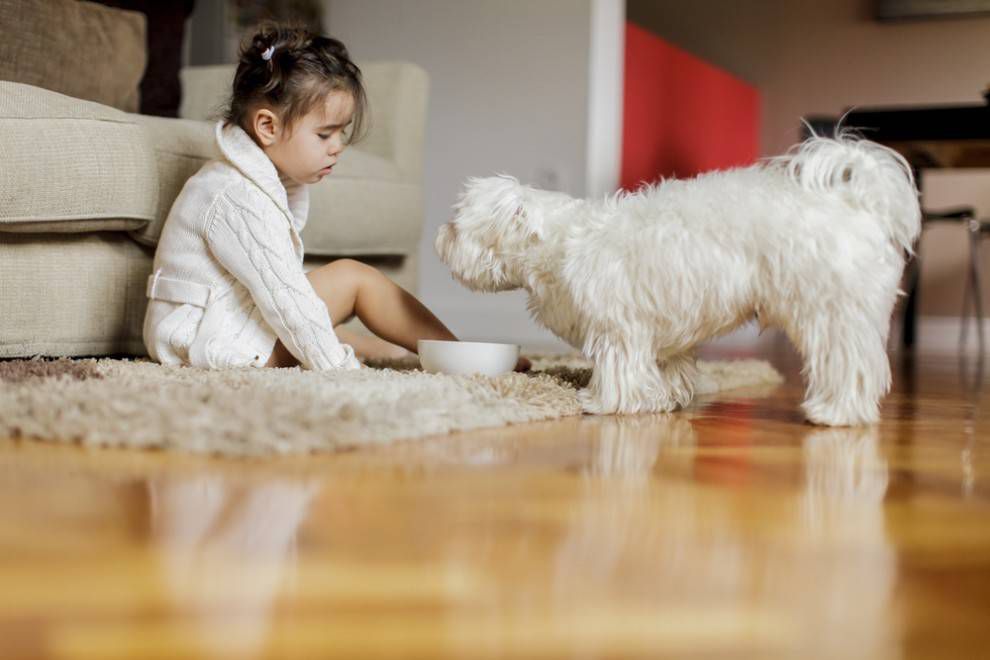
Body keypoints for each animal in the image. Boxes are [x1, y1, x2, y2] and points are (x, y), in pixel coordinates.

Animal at [436, 131, 924, 426]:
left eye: (458, 225)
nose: (440, 235)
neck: (556, 242)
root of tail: (859, 204)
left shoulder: (618, 326)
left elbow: (620, 369)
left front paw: (603, 403)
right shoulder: (663, 329)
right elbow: (668, 368)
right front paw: (665, 399)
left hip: (831, 311)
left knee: (849, 366)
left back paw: (835, 412)